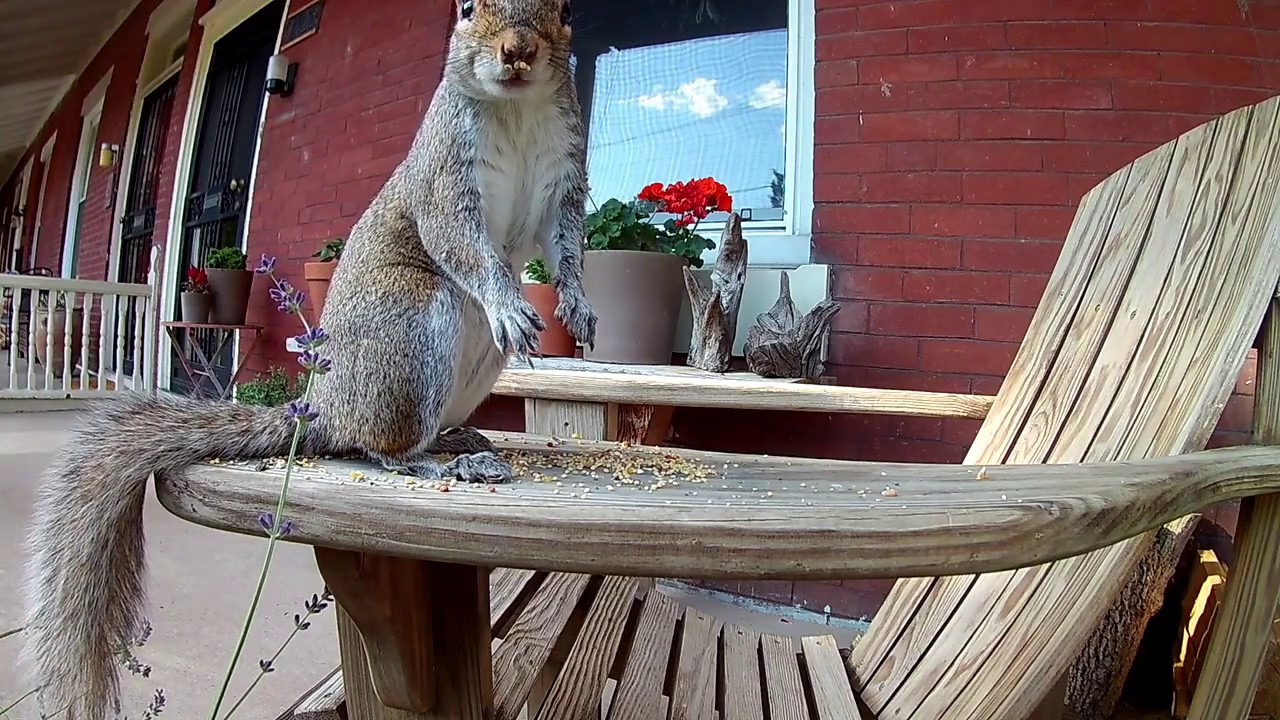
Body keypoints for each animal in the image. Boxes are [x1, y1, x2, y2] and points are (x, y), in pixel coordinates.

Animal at [20, 0, 595, 717]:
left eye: (566, 12)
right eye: (465, 9)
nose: (517, 52)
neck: (515, 110)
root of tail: (325, 407)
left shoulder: (561, 177)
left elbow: (565, 245)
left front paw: (577, 306)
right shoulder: (444, 180)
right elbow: (459, 242)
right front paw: (510, 304)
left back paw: (460, 437)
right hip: (414, 323)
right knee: (378, 446)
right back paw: (439, 459)